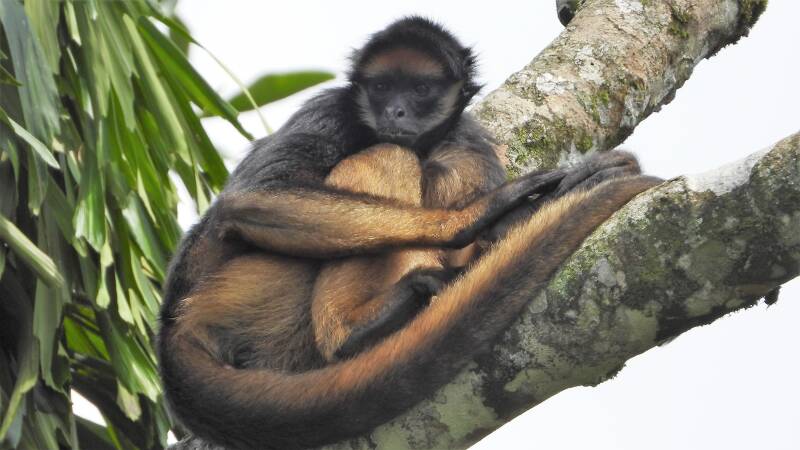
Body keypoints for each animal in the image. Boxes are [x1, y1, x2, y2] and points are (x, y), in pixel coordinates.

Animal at [158, 16, 661, 450]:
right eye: (382, 87)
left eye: (420, 89)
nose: (396, 111)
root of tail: (172, 327)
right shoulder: (329, 109)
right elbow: (253, 197)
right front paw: (484, 211)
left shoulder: (470, 138)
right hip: (250, 283)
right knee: (389, 154)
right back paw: (355, 332)